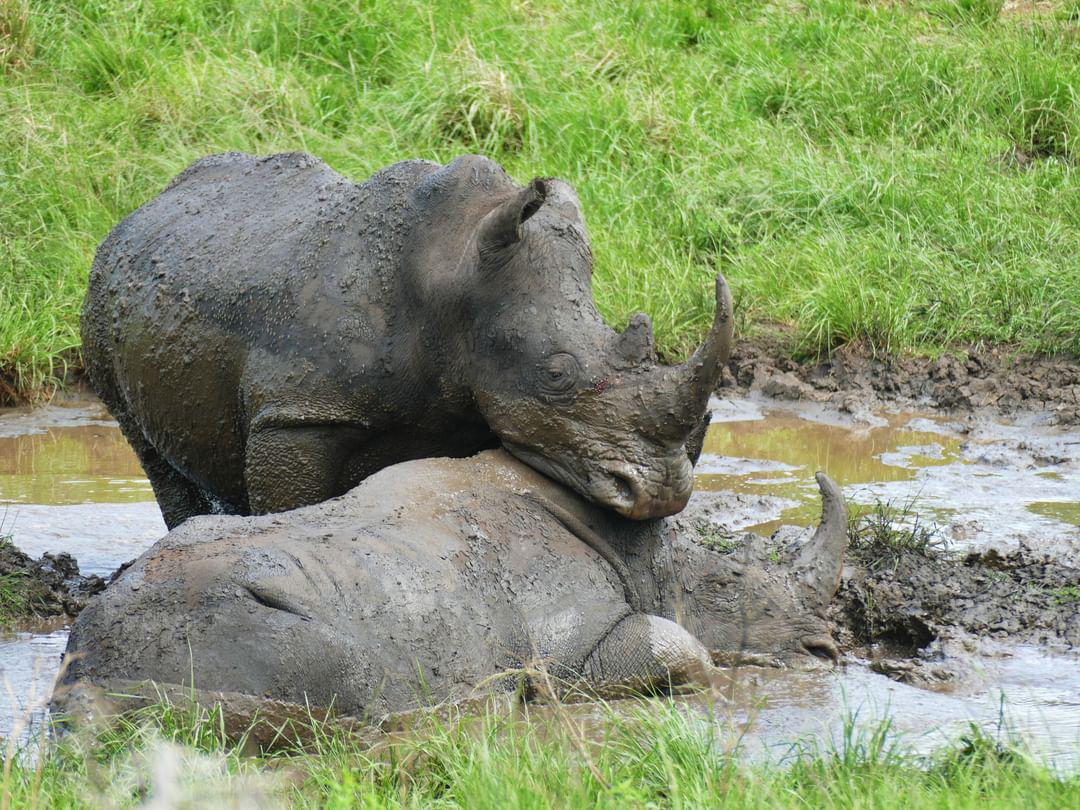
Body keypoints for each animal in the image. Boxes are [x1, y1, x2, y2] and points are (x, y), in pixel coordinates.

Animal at [57, 450, 847, 726]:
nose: (827, 652)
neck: (649, 559)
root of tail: (86, 666)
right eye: (734, 585)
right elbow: (684, 649)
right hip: (219, 623)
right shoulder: (572, 649)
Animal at [82, 152, 733, 529]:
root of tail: (140, 211)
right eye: (555, 375)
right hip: (101, 299)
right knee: (150, 453)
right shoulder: (298, 414)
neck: (455, 276)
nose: (661, 492)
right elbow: (294, 503)